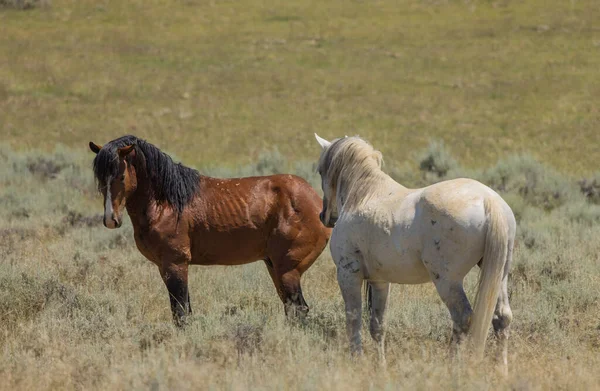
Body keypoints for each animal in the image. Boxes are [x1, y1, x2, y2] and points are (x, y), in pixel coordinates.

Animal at [89, 136, 332, 326]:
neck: (167, 203)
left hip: (287, 270)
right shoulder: (163, 267)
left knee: (299, 309)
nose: (110, 219)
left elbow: (181, 314)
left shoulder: (175, 264)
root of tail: (317, 201)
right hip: (274, 267)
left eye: (121, 176)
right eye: (100, 178)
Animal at [314, 135, 516, 374]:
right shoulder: (380, 282)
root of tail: (488, 200)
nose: (324, 216)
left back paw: (451, 366)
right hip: (499, 274)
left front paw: (358, 362)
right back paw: (501, 370)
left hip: (447, 281)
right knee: (502, 318)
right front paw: (381, 366)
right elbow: (377, 326)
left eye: (320, 171)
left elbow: (353, 321)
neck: (363, 195)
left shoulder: (348, 274)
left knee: (462, 317)